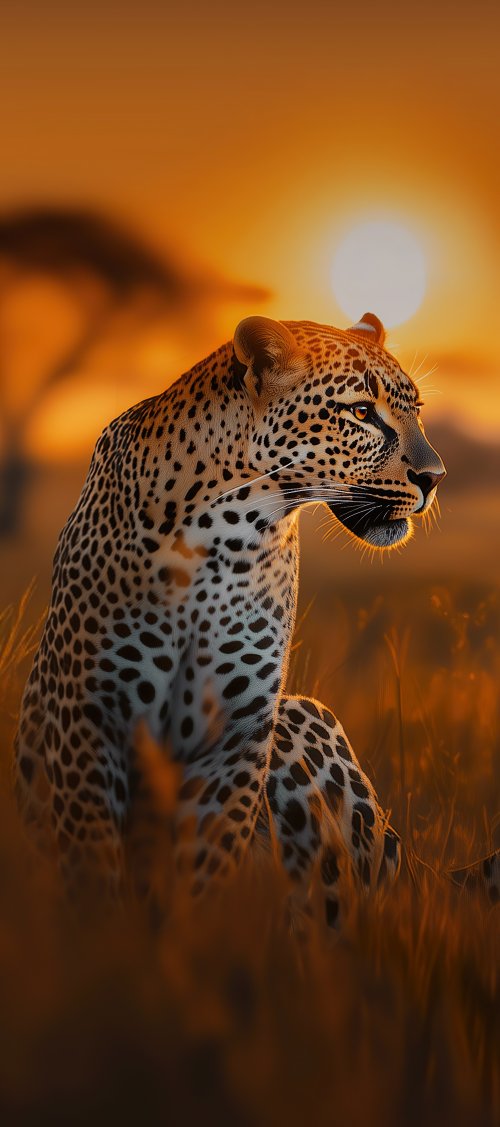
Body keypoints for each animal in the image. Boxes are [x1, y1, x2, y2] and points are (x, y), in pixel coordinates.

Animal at [17, 309, 472, 925]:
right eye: (360, 412)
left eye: (416, 411)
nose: (436, 477)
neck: (225, 530)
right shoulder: (88, 714)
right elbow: (92, 868)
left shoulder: (239, 730)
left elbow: (206, 870)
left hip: (302, 719)